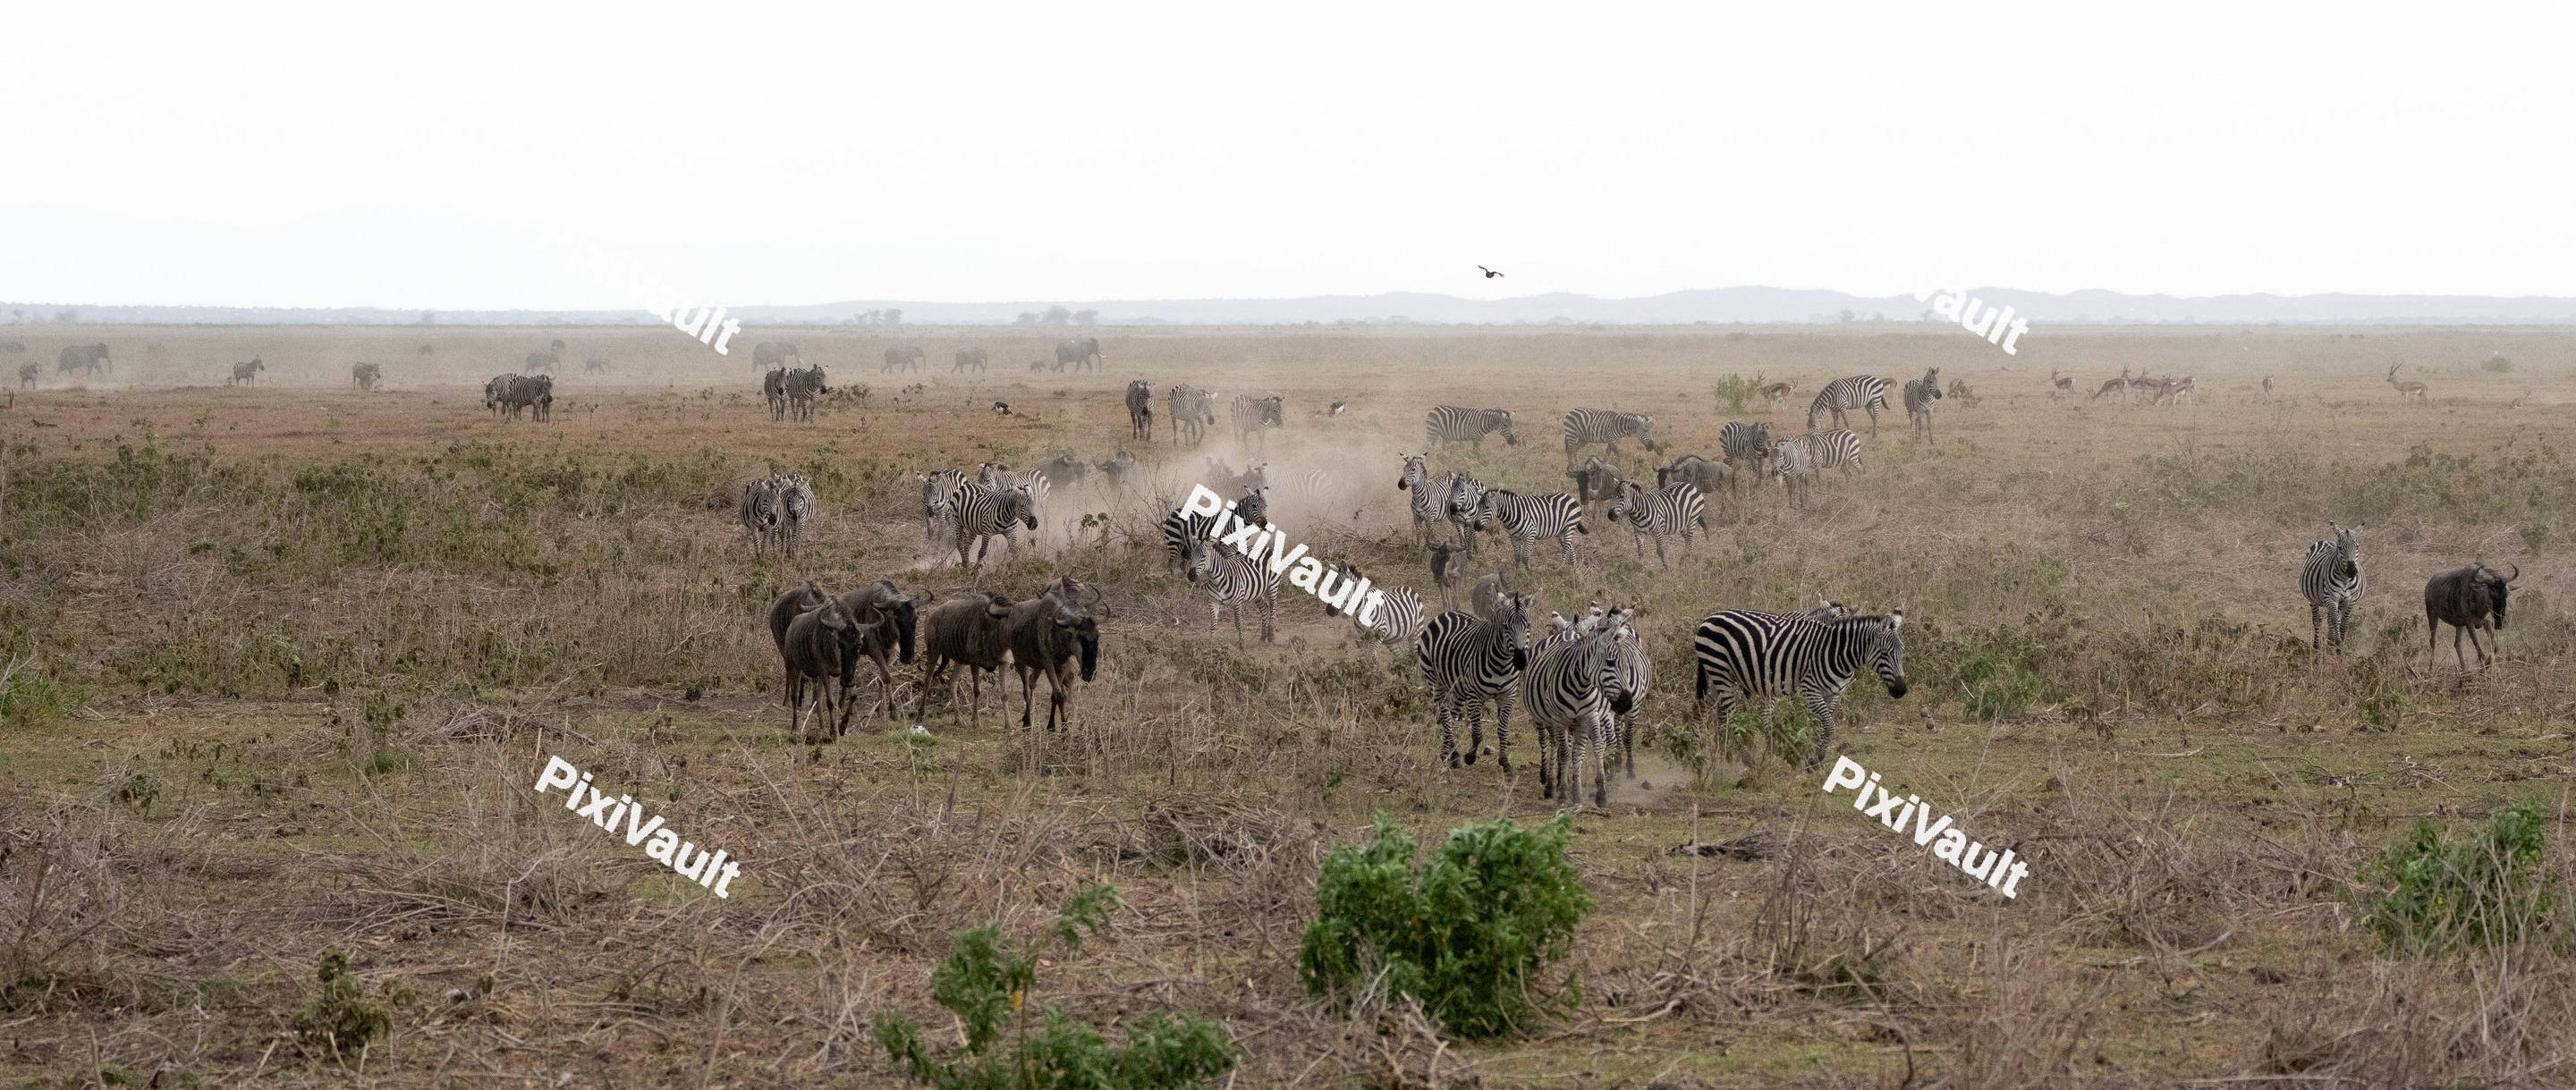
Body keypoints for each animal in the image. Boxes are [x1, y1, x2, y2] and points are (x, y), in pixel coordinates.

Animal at [1416, 591, 1532, 771]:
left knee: (1452, 716)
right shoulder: (1474, 696)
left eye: (1528, 626)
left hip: (1458, 689)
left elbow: (1503, 730)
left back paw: (1450, 755)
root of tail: (1447, 612)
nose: (1520, 661)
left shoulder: (1508, 696)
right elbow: (1477, 732)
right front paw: (1470, 757)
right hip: (1435, 681)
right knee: (1445, 716)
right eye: (1506, 627)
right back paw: (1452, 755)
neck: (1502, 663)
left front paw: (1504, 761)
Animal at [1522, 613, 1640, 806]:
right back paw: (1550, 784)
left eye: (1625, 665)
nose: (1627, 703)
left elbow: (1589, 750)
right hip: (1545, 719)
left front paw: (1593, 793)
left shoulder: (1588, 717)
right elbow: (1564, 754)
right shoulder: (1560, 720)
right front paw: (1563, 793)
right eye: (1610, 662)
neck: (1580, 685)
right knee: (1552, 745)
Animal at [1693, 608, 1909, 770]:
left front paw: (1815, 758)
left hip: (1721, 675)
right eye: (1884, 653)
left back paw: (1715, 751)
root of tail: (1711, 617)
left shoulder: (1834, 693)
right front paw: (1816, 759)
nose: (1901, 691)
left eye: (1902, 652)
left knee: (1709, 708)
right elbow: (1829, 725)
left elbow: (1824, 726)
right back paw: (1745, 759)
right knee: (1729, 713)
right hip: (1718, 668)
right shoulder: (1810, 689)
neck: (1836, 653)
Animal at [2300, 521, 2365, 653]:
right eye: (2340, 548)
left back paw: (2329, 641)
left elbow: (2343, 624)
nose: (2352, 571)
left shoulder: (2350, 601)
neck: (2345, 579)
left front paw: (2339, 647)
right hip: (2314, 599)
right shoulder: (2331, 598)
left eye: (2357, 547)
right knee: (2317, 620)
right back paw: (2317, 647)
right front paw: (2337, 643)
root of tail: (2325, 540)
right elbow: (2336, 621)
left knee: (2330, 619)